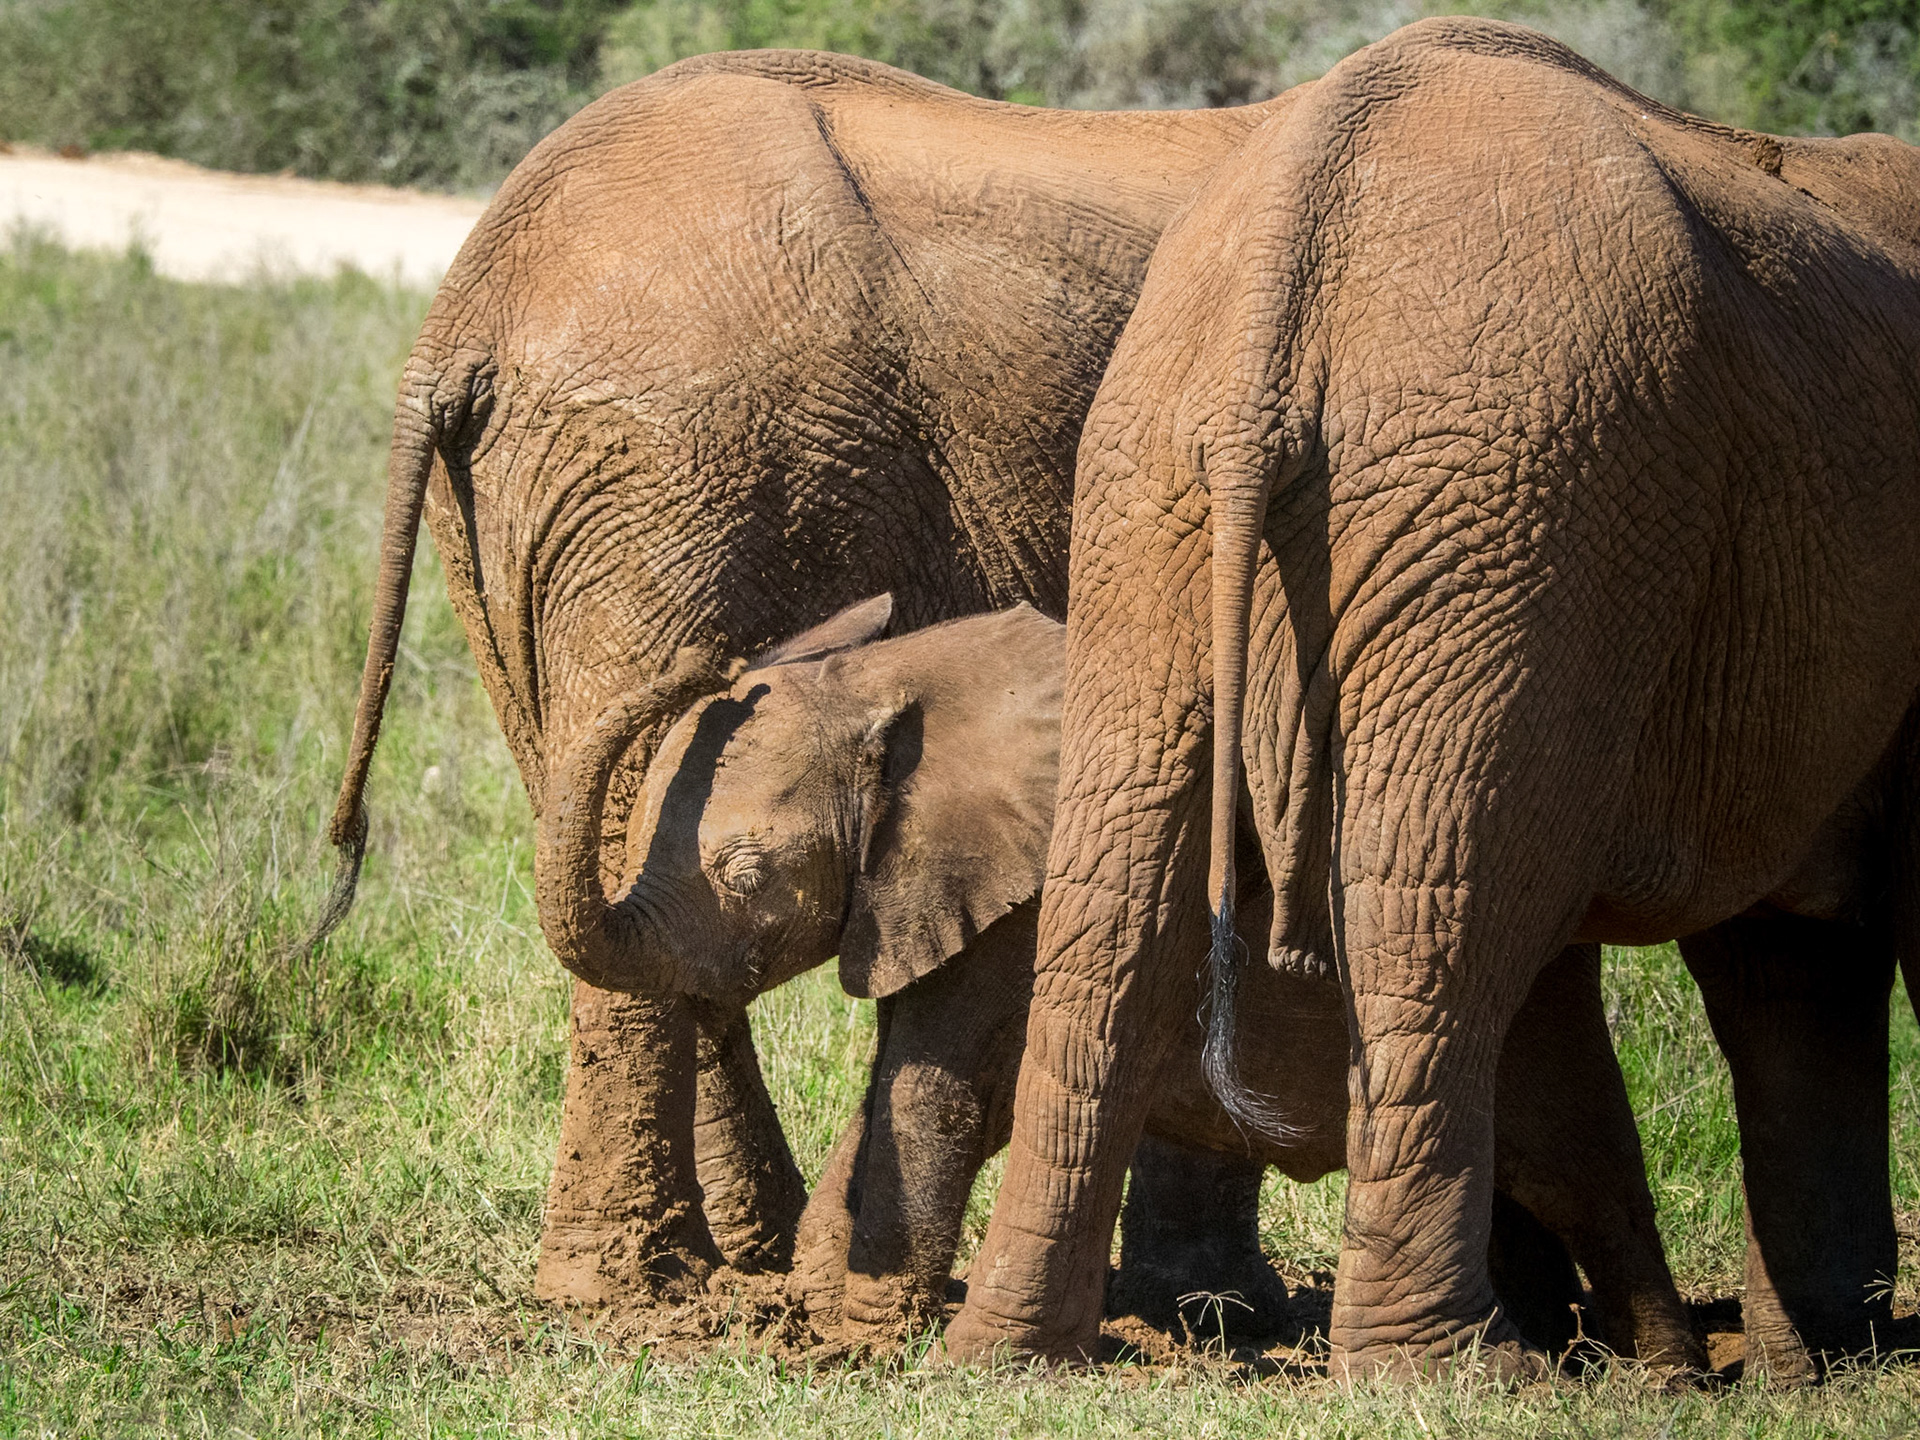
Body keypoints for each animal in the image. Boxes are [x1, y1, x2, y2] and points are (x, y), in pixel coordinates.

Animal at [320, 51, 1305, 1312]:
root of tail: (465, 322)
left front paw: (1209, 1302)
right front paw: (1219, 1307)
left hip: (542, 515)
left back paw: (732, 1258)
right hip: (681, 476)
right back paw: (634, 1291)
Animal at [544, 595, 1699, 1364]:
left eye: (748, 873)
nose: (701, 656)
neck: (898, 685)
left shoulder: (1026, 896)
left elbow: (938, 1088)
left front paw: (861, 1339)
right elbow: (901, 1085)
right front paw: (817, 1311)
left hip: (1534, 990)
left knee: (1580, 1166)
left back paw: (1659, 1376)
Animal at [946, 17, 1920, 1381]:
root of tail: (1286, 271)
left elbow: (1785, 965)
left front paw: (1803, 1366)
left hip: (1167, 493)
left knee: (1116, 902)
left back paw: (1010, 1354)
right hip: (1523, 500)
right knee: (1432, 908)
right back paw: (1464, 1365)